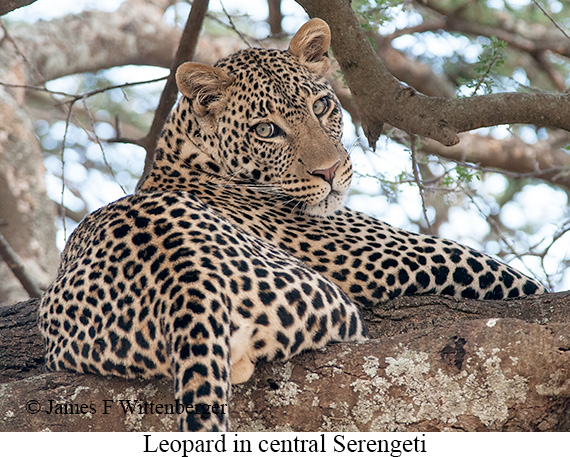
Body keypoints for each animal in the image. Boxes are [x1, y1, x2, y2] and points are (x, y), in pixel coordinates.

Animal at [37, 17, 544, 432]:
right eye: (267, 130)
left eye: (321, 107)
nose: (330, 171)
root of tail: (185, 285)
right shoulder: (396, 256)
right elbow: (517, 279)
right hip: (335, 302)